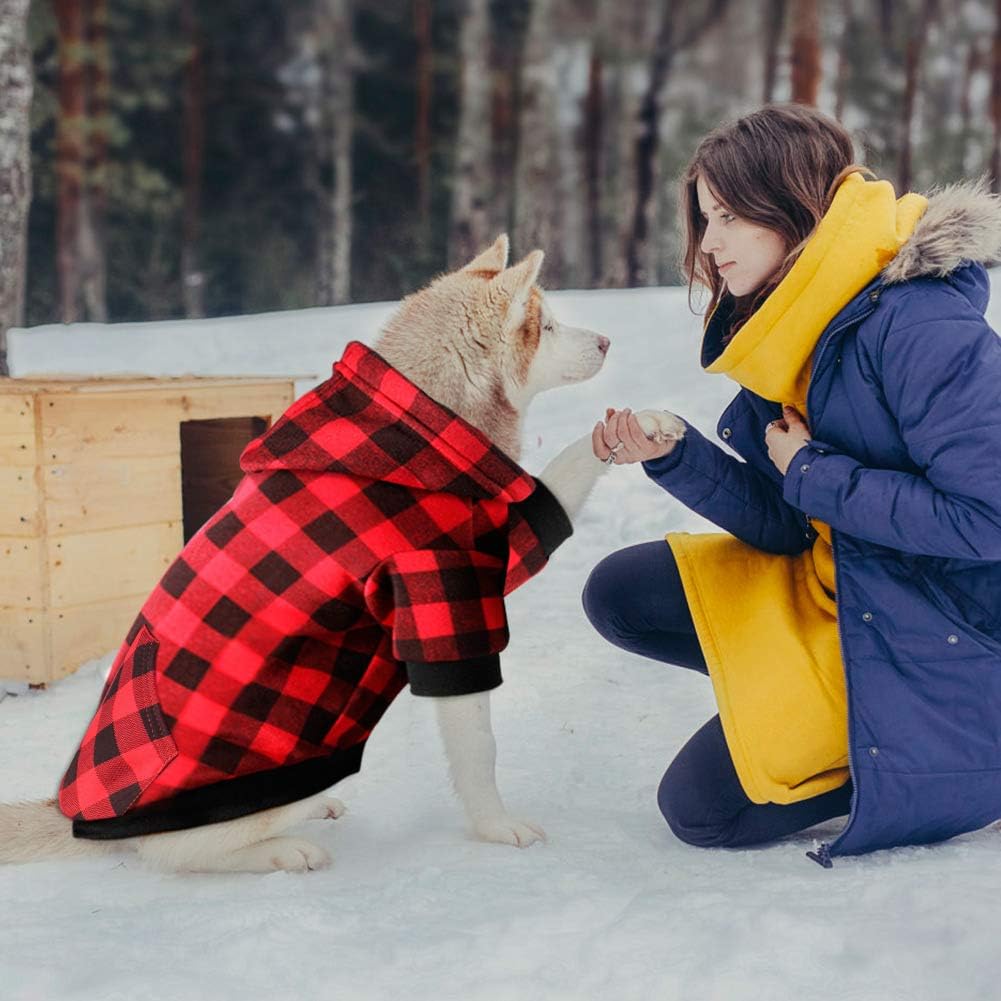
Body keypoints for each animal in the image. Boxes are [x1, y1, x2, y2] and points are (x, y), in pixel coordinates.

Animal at [0, 238, 684, 872]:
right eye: (546, 328)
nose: (607, 342)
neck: (425, 426)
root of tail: (76, 815)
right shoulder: (444, 597)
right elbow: (479, 746)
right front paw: (496, 828)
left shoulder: (498, 543)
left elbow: (571, 463)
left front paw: (643, 427)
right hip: (272, 767)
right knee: (174, 851)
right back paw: (284, 850)